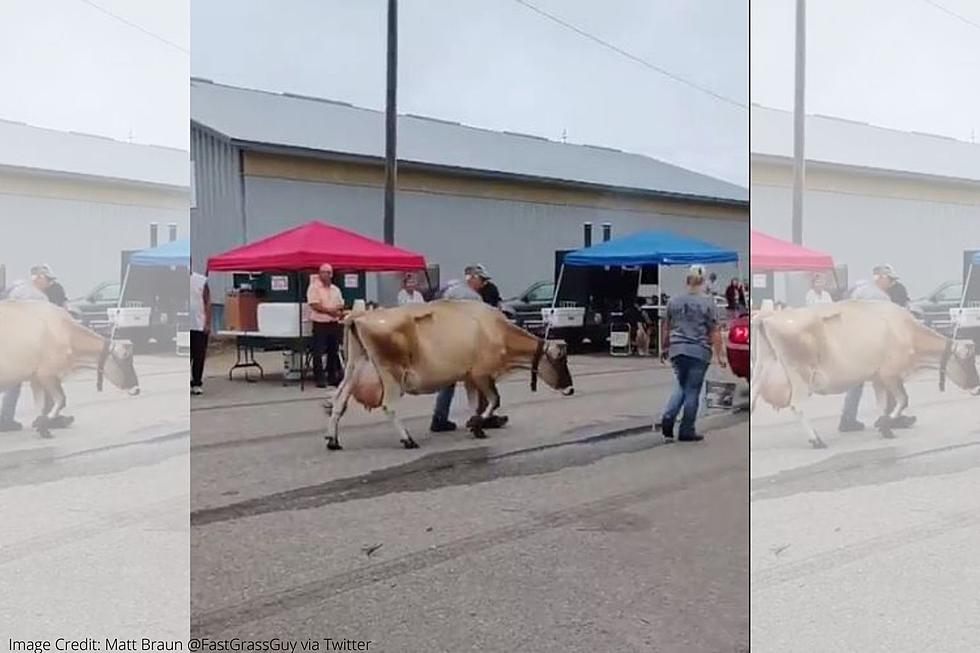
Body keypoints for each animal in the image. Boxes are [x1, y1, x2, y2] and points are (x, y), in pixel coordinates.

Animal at [0, 300, 142, 438]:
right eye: (125, 358)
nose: (136, 389)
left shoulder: (36, 378)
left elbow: (40, 406)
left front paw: (42, 428)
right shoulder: (47, 374)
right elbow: (61, 400)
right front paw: (46, 422)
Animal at [326, 300, 580, 448]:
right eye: (560, 360)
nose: (570, 389)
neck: (496, 330)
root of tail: (359, 316)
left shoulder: (468, 377)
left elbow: (475, 404)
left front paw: (476, 426)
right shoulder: (481, 373)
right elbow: (494, 400)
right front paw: (477, 424)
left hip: (354, 367)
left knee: (339, 401)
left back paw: (333, 440)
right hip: (391, 374)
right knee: (389, 406)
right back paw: (408, 439)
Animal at [756, 300, 976, 448]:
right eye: (967, 361)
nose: (977, 385)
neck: (906, 331)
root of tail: (769, 315)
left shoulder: (877, 377)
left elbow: (882, 404)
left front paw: (884, 427)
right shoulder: (890, 373)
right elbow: (903, 399)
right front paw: (886, 424)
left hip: (761, 370)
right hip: (800, 375)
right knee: (797, 406)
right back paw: (816, 440)